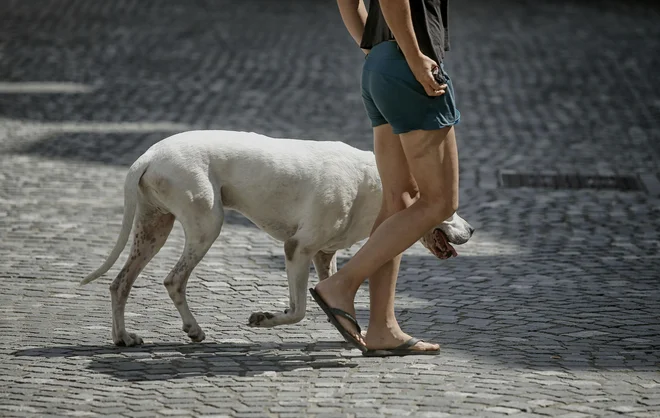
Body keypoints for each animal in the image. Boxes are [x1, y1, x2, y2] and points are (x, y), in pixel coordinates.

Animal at [81, 131, 474, 346]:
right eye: (450, 209)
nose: (471, 231)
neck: (373, 183)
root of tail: (149, 155)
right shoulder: (296, 249)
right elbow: (298, 311)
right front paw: (266, 318)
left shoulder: (323, 255)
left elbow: (333, 299)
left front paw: (349, 334)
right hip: (207, 225)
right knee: (173, 279)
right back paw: (192, 329)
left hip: (153, 231)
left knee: (119, 283)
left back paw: (123, 338)